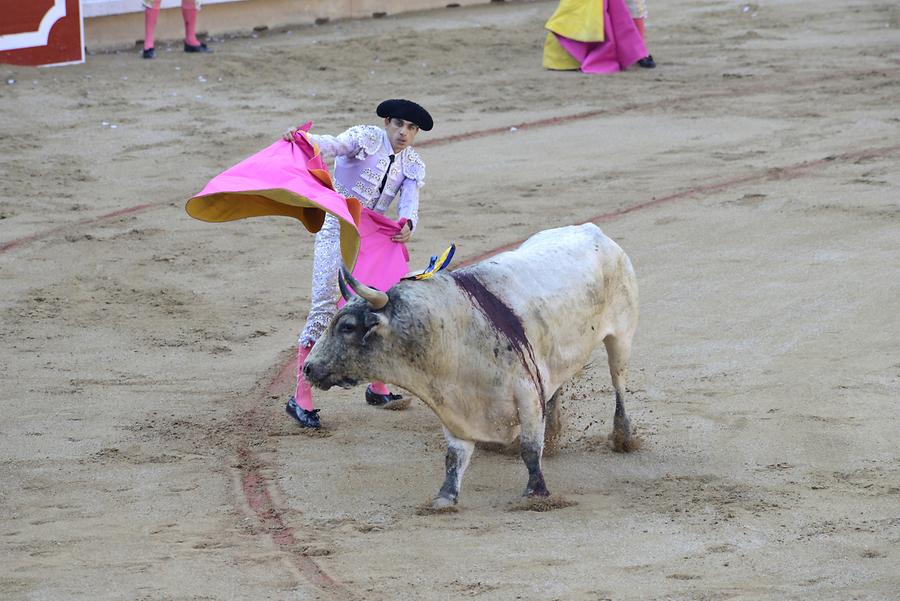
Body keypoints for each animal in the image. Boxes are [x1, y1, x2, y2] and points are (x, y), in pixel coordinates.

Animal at [304, 224, 640, 506]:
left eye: (347, 326)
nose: (308, 367)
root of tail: (595, 232)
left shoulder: (526, 393)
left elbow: (530, 447)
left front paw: (536, 492)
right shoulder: (454, 404)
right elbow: (454, 456)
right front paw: (444, 497)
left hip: (621, 336)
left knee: (618, 381)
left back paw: (623, 437)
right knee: (557, 387)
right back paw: (556, 432)